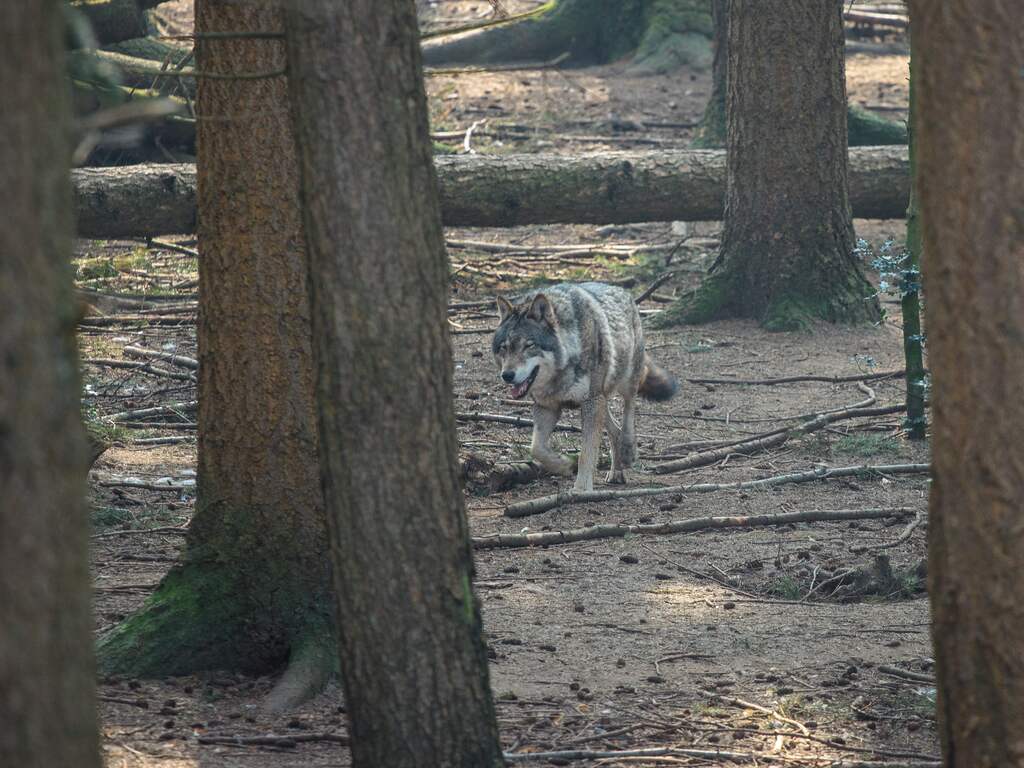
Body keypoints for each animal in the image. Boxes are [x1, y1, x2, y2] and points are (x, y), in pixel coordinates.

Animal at [492, 282, 678, 492]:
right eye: (504, 347)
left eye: (529, 345)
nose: (507, 375)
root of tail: (622, 290)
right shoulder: (547, 407)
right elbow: (536, 449)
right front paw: (563, 464)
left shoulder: (591, 401)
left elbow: (586, 452)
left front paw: (581, 489)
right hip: (601, 399)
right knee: (614, 429)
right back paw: (616, 472)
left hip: (624, 382)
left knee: (629, 410)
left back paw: (628, 450)